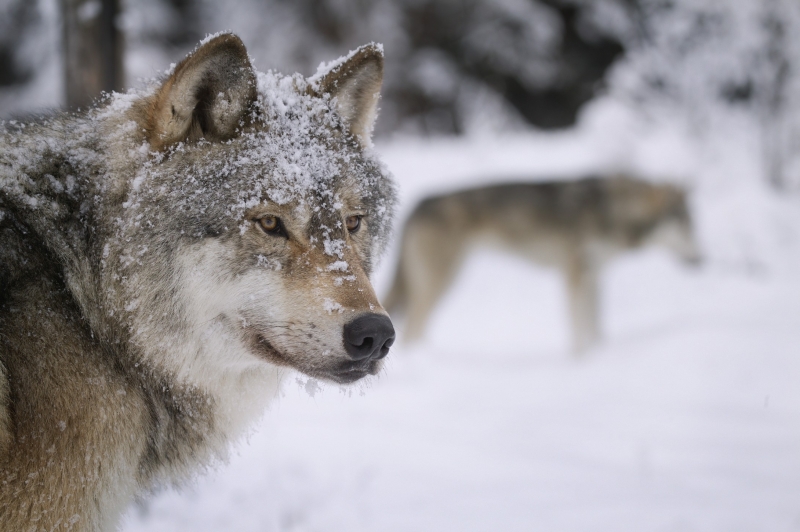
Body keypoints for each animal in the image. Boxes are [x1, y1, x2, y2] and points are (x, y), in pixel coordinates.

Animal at [384, 177, 696, 356]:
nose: (701, 260)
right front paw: (580, 360)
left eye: (692, 226)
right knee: (412, 329)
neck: (611, 209)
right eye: (684, 226)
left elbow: (595, 326)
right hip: (441, 282)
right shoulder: (574, 275)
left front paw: (600, 353)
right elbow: (578, 326)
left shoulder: (594, 276)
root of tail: (419, 205)